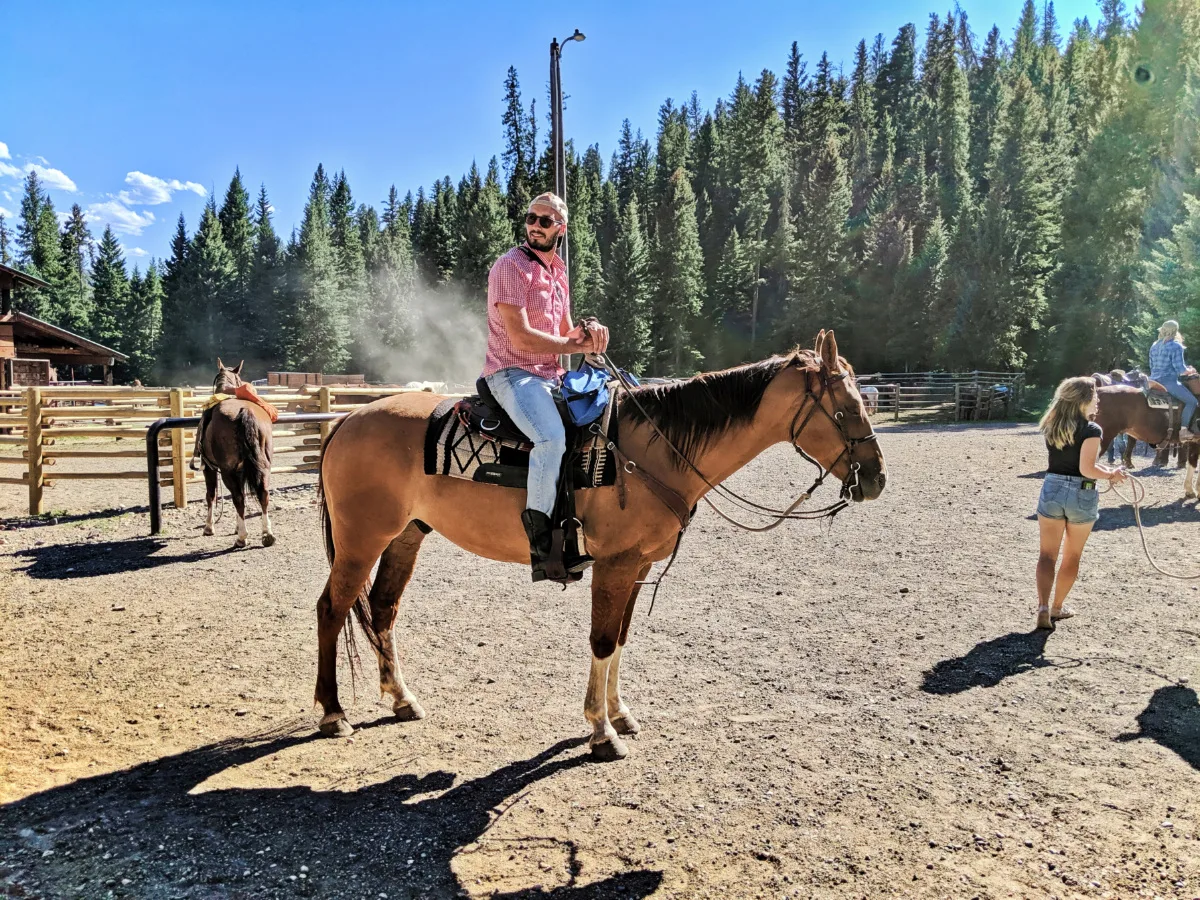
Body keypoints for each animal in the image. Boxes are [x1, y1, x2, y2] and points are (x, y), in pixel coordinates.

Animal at [195, 362, 277, 549]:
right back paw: (267, 534)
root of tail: (245, 411)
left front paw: (208, 527)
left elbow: (211, 495)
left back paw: (242, 538)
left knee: (237, 497)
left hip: (227, 471)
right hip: (264, 466)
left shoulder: (209, 468)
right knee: (263, 493)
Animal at [314, 331, 888, 763]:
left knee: (382, 609)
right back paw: (332, 712)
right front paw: (600, 731)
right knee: (332, 609)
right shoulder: (614, 563)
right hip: (361, 539)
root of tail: (348, 419)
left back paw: (401, 699)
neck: (655, 451)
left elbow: (621, 640)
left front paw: (619, 714)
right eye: (844, 408)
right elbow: (603, 640)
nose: (877, 479)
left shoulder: (636, 566)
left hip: (406, 535)